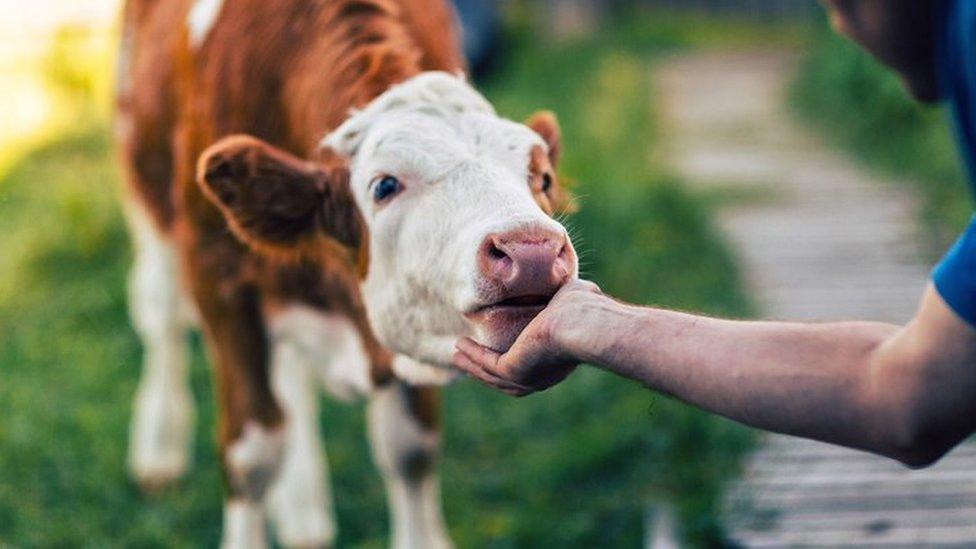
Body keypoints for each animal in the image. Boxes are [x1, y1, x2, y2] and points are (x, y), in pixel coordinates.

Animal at [115, 2, 576, 544]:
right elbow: (251, 457)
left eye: (542, 177)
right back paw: (160, 447)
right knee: (162, 315)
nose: (531, 250)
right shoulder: (218, 274)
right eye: (384, 186)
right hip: (145, 180)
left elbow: (410, 449)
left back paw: (302, 511)